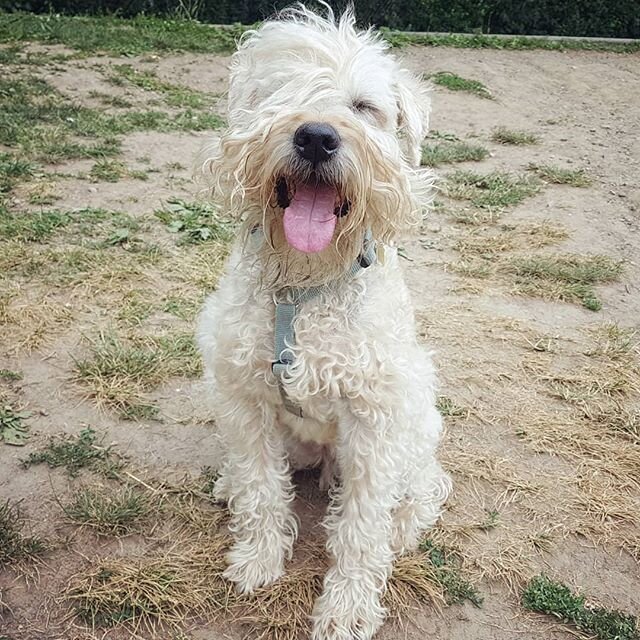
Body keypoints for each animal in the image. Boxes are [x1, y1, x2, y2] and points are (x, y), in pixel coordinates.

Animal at [198, 6, 452, 640]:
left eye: (364, 106)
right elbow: (262, 490)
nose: (316, 136)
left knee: (421, 489)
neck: (304, 288)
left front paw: (348, 608)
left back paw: (405, 525)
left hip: (418, 426)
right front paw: (257, 561)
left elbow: (361, 529)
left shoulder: (375, 422)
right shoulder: (244, 399)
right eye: (281, 92)